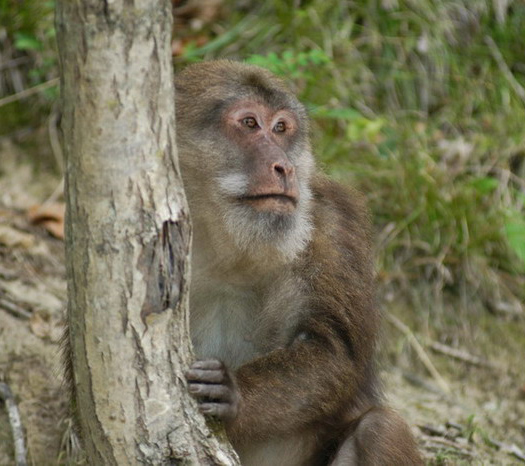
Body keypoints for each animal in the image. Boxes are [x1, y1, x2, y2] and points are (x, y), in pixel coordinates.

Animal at [176, 60, 422, 464]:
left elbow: (332, 350)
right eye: (249, 123)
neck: (230, 244)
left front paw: (235, 394)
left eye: (280, 128)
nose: (285, 167)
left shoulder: (333, 225)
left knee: (380, 429)